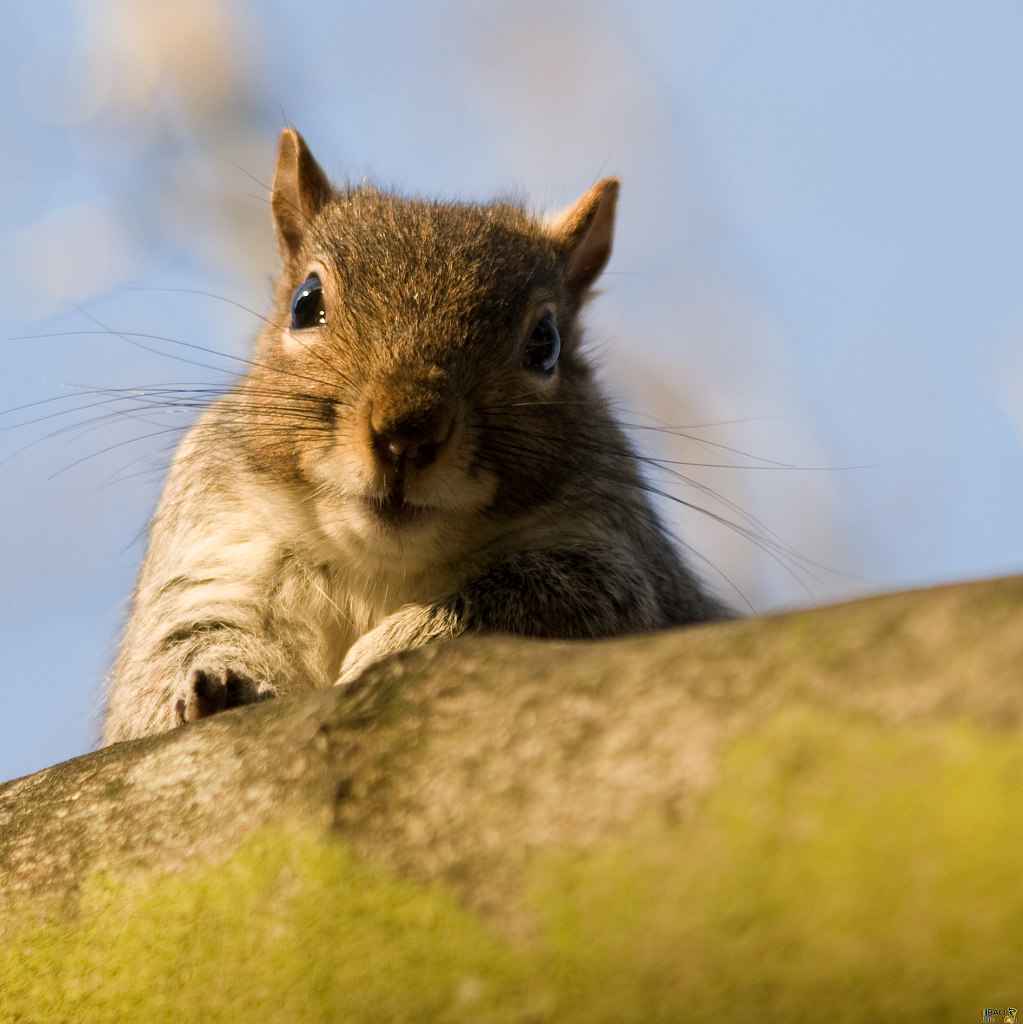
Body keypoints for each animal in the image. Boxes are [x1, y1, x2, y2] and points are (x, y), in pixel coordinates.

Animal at [101, 128, 729, 745]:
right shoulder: (214, 551)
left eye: (546, 343)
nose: (407, 433)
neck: (381, 565)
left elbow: (543, 598)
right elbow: (172, 652)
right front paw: (221, 682)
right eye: (305, 303)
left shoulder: (617, 567)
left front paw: (395, 646)